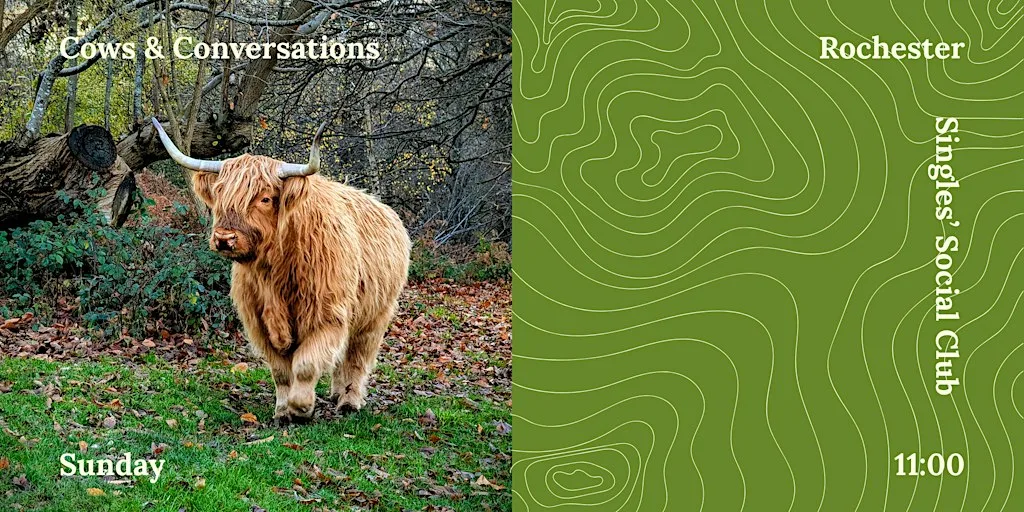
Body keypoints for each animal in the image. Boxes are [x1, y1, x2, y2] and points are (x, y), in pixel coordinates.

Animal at [151, 118, 411, 423]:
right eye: (220, 193)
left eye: (264, 199)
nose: (225, 238)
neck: (274, 272)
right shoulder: (259, 322)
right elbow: (281, 372)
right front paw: (283, 411)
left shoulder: (327, 316)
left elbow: (305, 365)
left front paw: (301, 408)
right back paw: (336, 394)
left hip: (376, 315)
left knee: (357, 358)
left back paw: (348, 401)